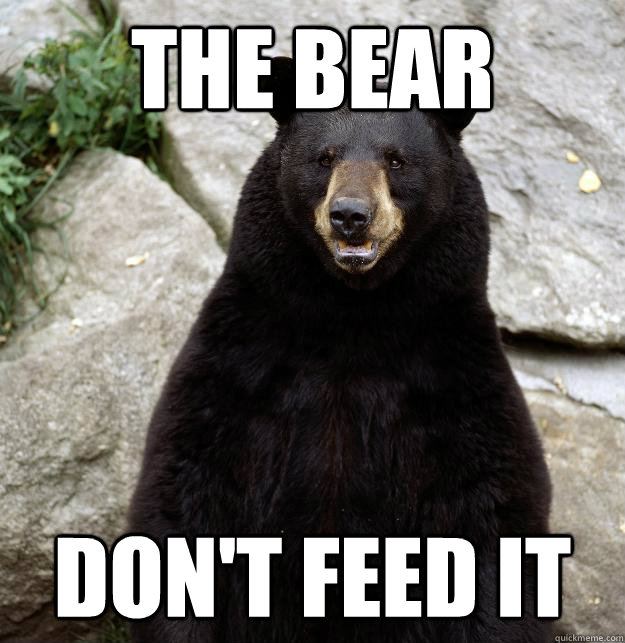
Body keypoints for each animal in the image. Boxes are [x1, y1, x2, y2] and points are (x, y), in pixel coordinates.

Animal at [129, 57, 552, 643]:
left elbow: (491, 502)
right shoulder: (243, 358)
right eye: (324, 157)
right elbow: (187, 484)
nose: (350, 214)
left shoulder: (451, 371)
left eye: (396, 159)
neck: (353, 320)